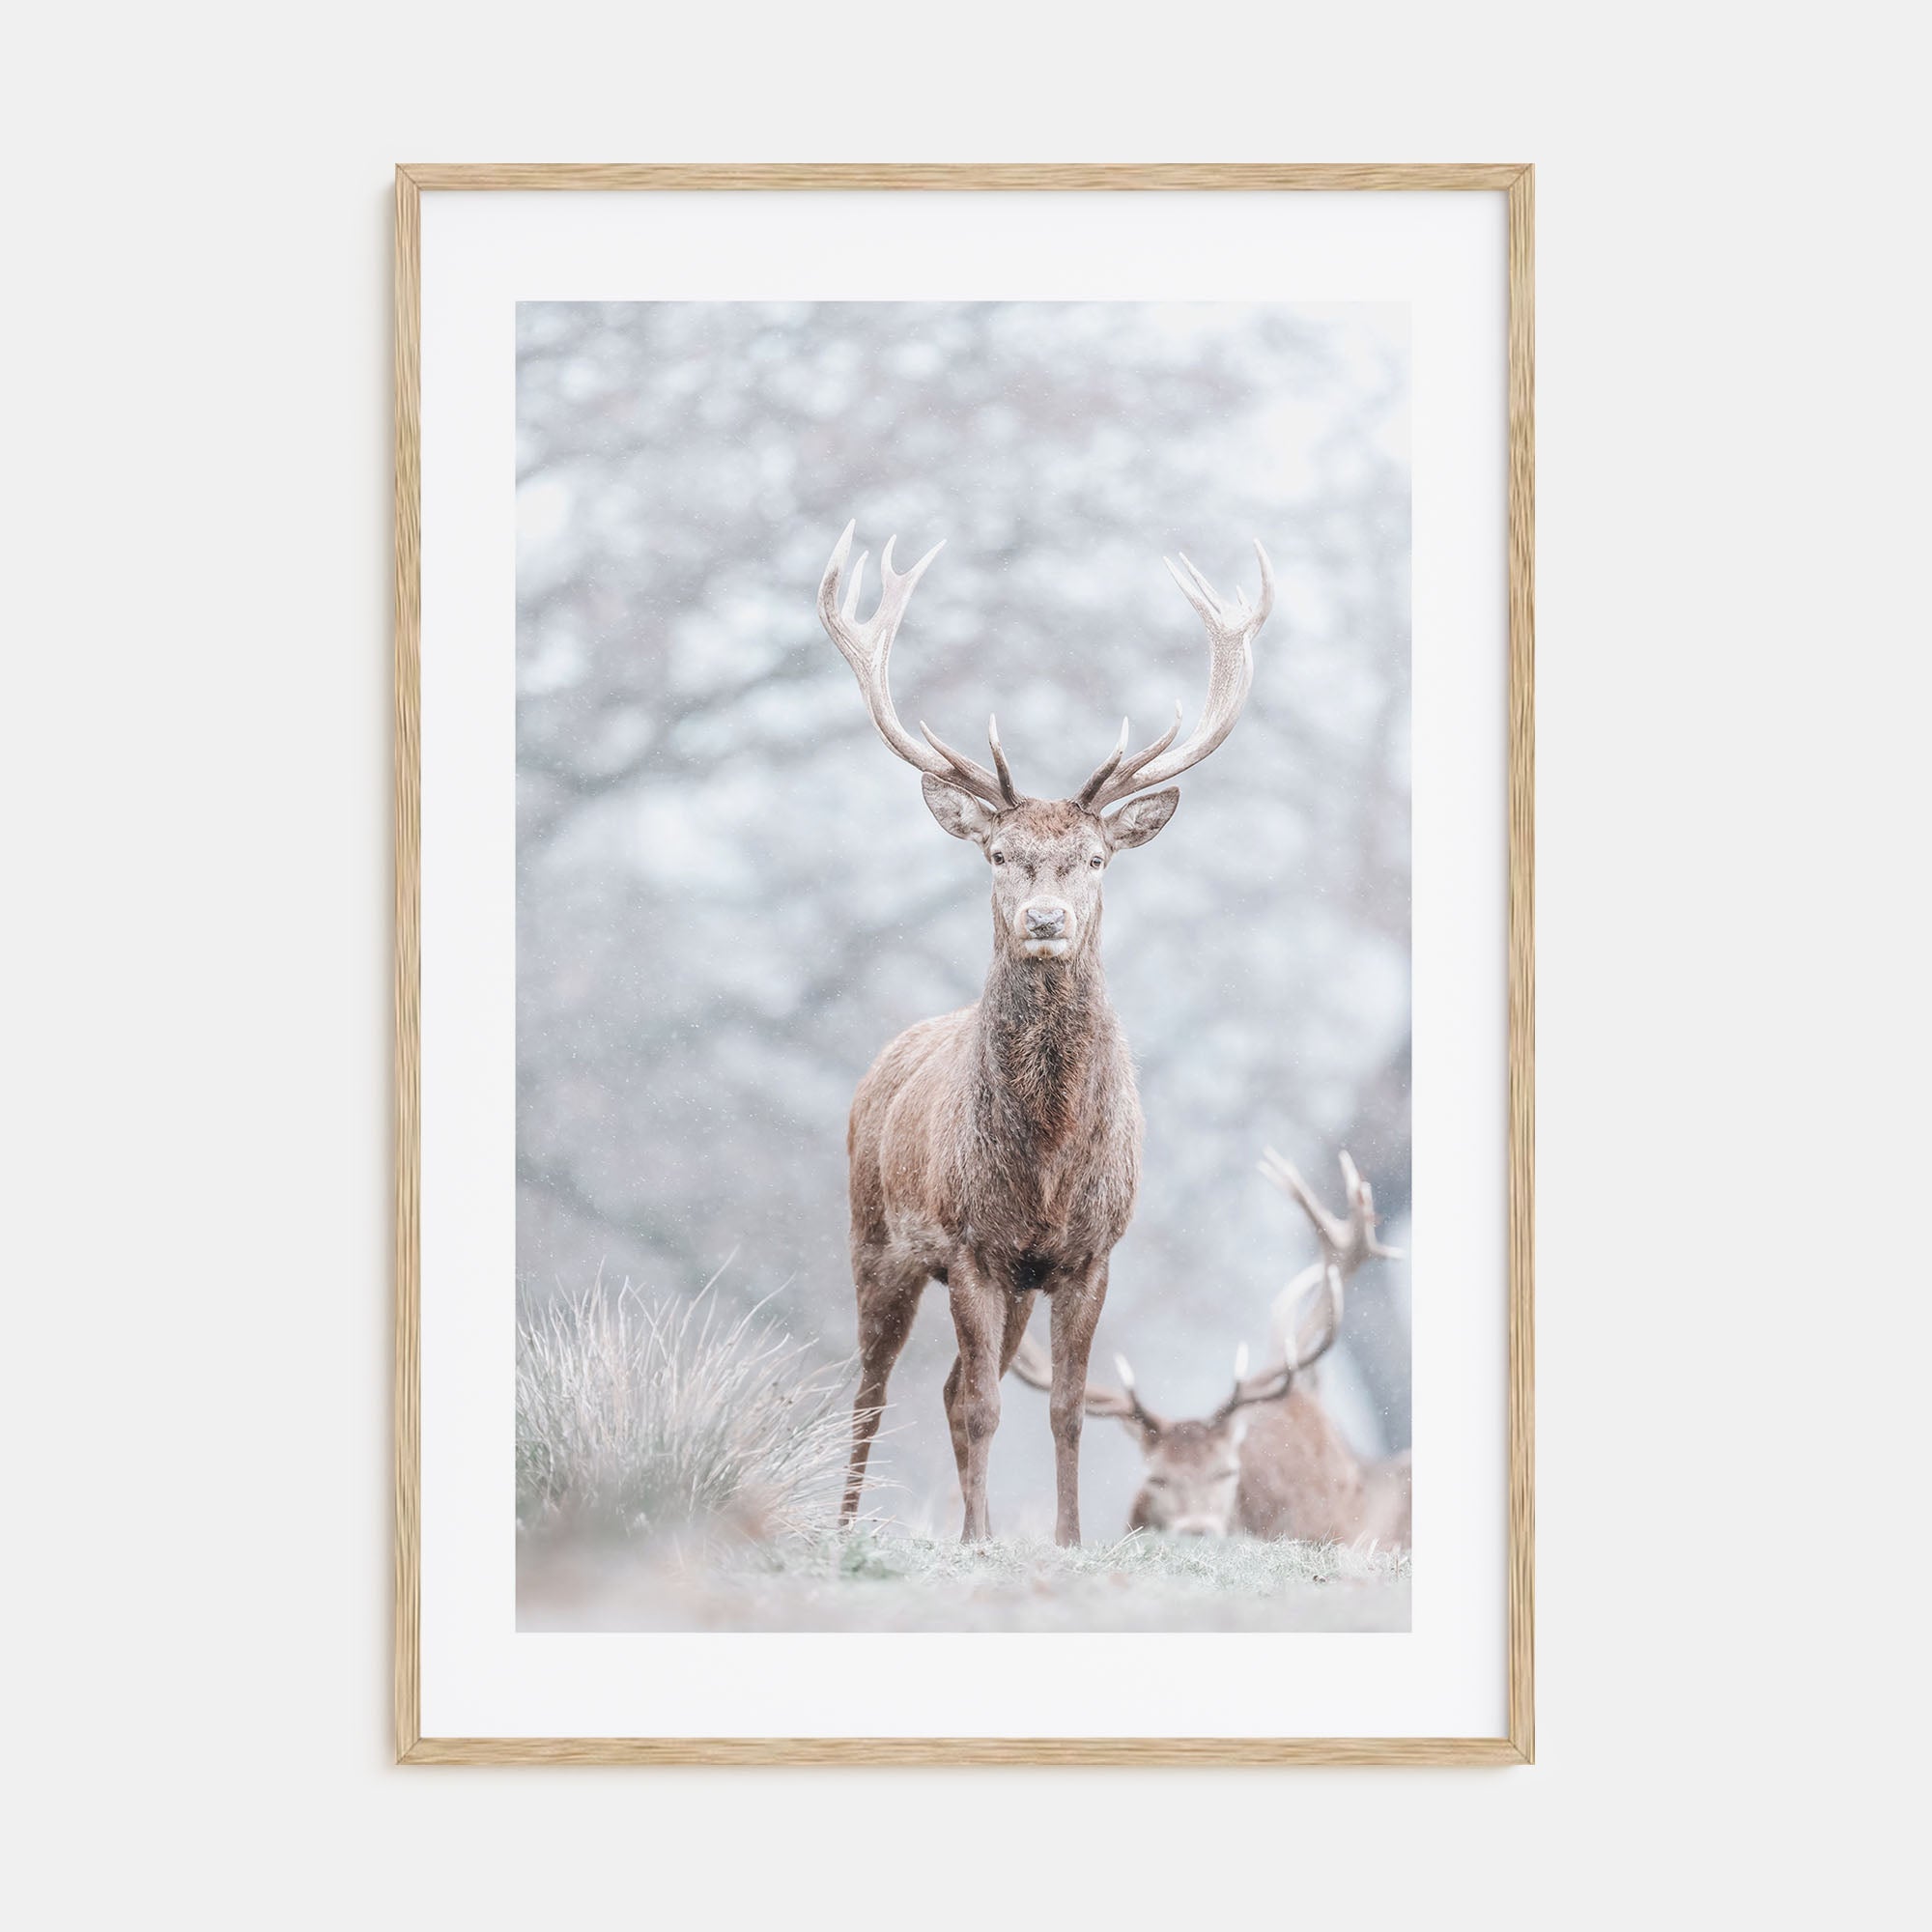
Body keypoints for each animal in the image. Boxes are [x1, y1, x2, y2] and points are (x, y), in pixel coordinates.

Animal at [820, 521, 1275, 1545]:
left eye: (1096, 858)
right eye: (1000, 853)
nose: (1044, 920)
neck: (1047, 1159)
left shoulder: (1087, 1253)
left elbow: (1064, 1409)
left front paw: (1064, 1540)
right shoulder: (969, 1246)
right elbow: (989, 1407)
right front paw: (983, 1543)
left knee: (949, 1387)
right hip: (876, 1238)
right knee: (876, 1389)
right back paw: (852, 1523)